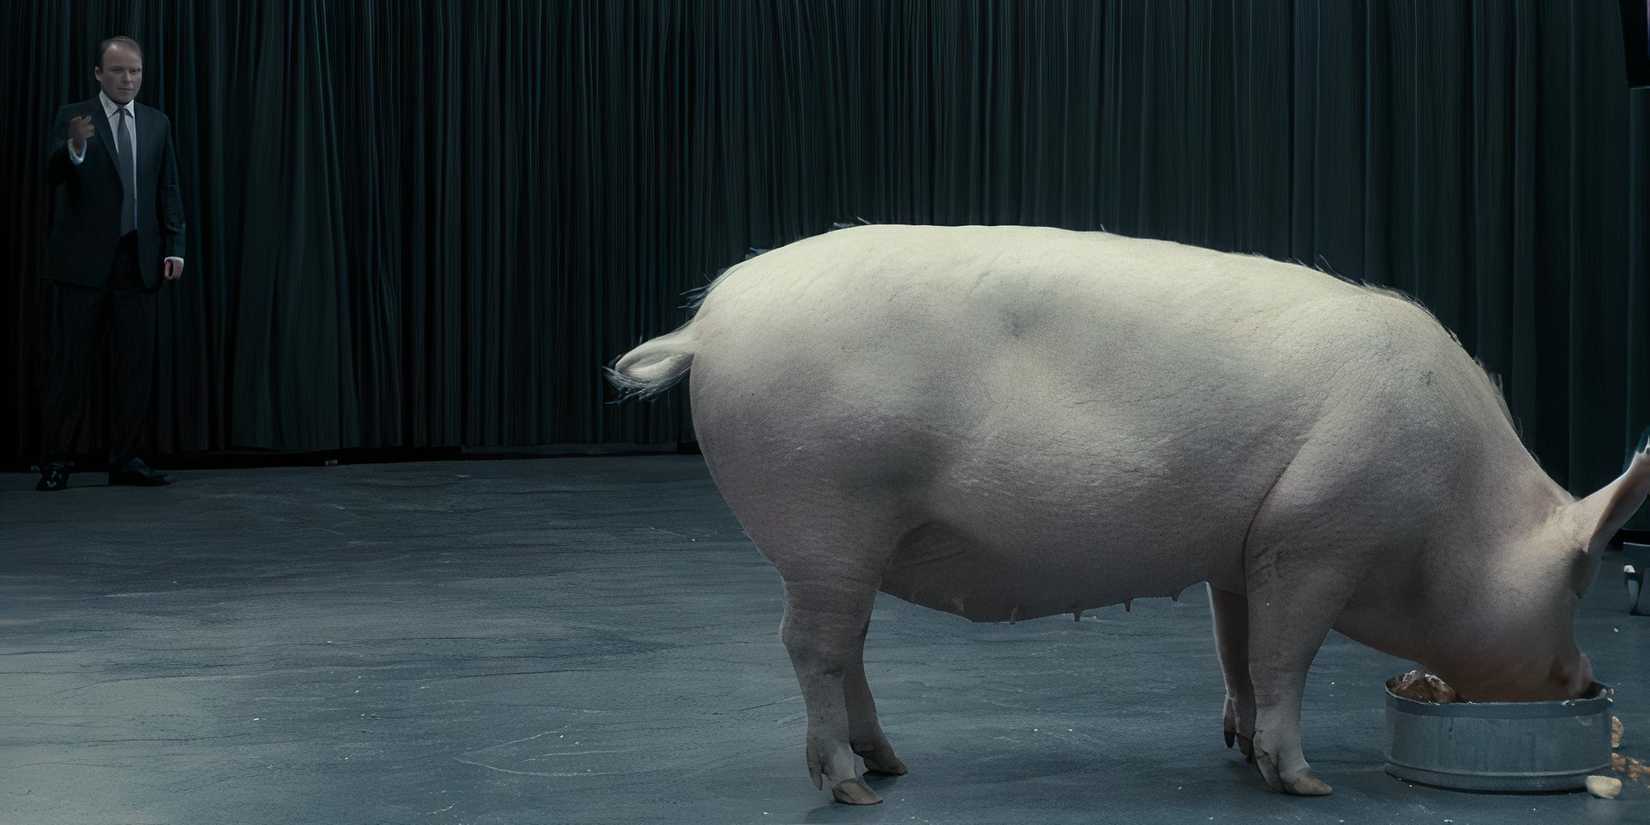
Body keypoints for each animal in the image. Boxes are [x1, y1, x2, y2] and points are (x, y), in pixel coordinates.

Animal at [605, 224, 1650, 804]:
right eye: (1576, 578)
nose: (1586, 679)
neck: (1451, 502)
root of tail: (707, 325)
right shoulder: (1318, 532)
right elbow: (1286, 656)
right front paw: (1303, 781)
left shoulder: (1247, 549)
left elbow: (1237, 650)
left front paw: (1237, 748)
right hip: (826, 514)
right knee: (810, 646)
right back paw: (854, 786)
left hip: (842, 541)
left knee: (845, 646)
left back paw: (890, 763)